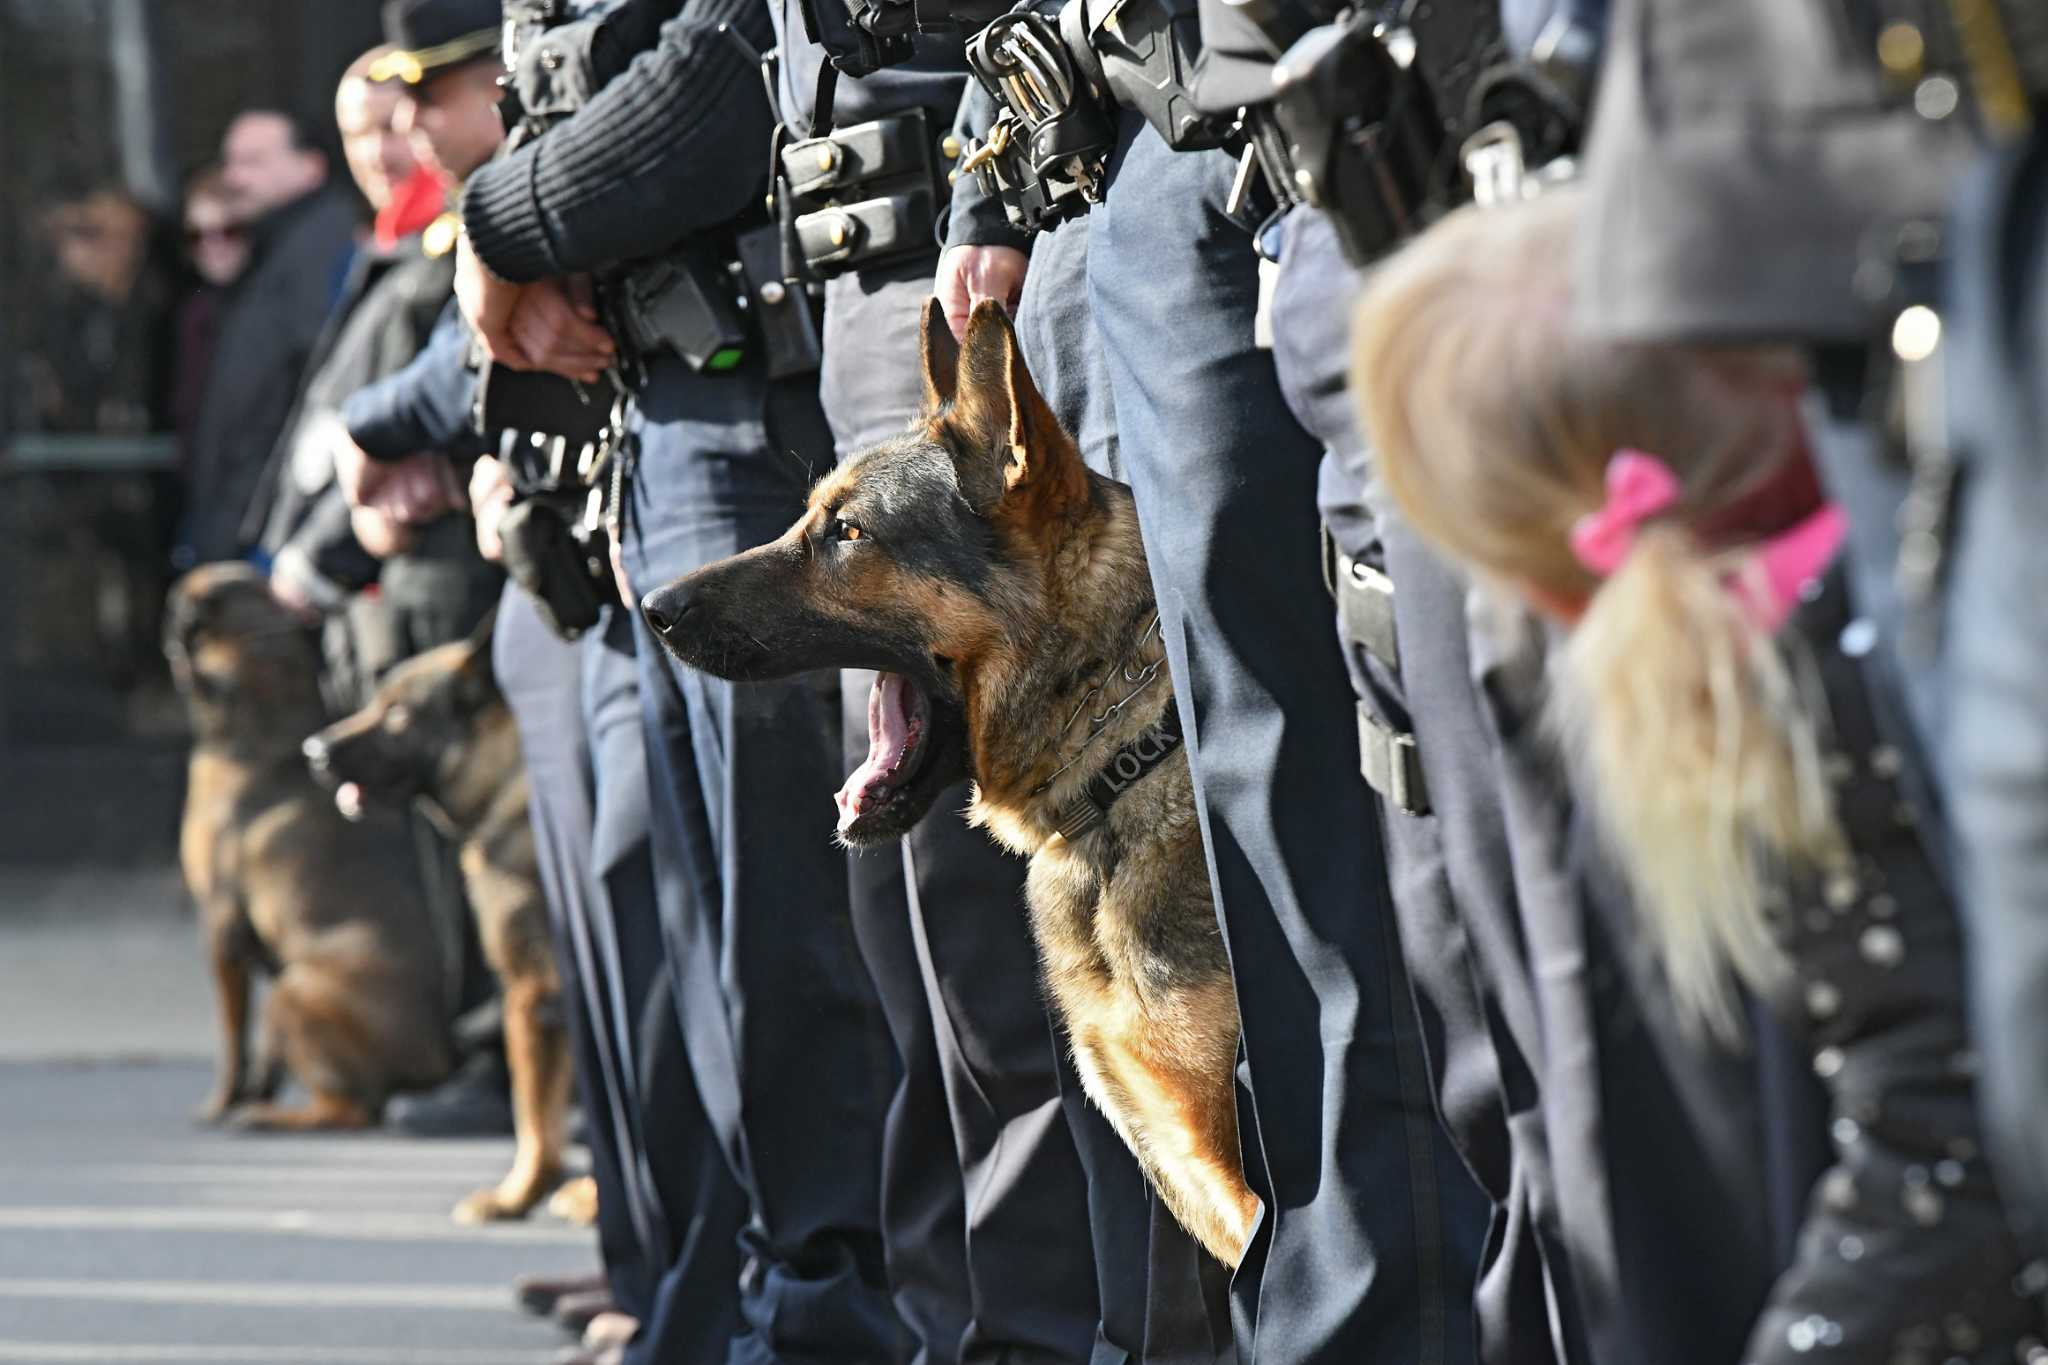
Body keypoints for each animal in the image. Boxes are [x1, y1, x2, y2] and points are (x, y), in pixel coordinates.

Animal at [162, 564, 452, 1129]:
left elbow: (233, 1037)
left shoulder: (222, 926)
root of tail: (439, 1061)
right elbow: (264, 1059)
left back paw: (270, 1117)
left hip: (293, 990)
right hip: (288, 986)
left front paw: (225, 1102)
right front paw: (254, 1091)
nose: (174, 601)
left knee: (353, 1110)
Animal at [299, 613, 569, 1219]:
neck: (503, 781)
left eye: (400, 715)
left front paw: (518, 1196)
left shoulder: (532, 994)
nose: (314, 751)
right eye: (374, 701)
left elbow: (533, 1115)